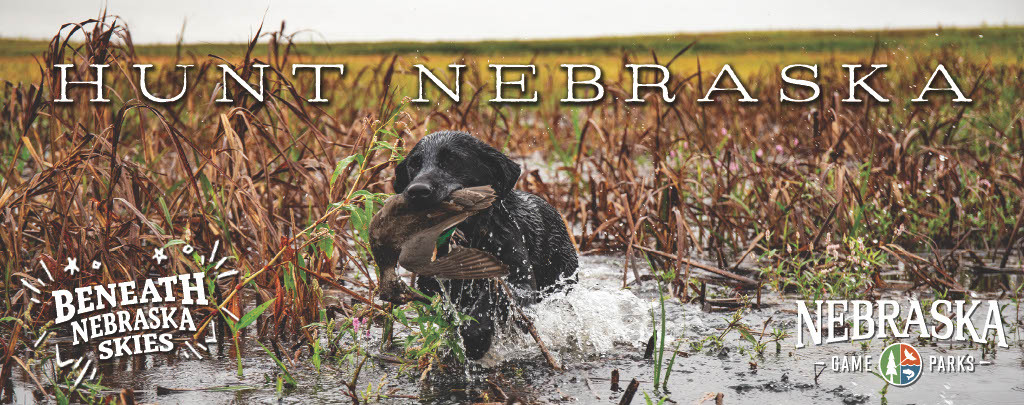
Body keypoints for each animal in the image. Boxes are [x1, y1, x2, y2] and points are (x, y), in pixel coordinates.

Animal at [393, 129, 581, 357]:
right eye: (414, 163)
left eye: (452, 160)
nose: (417, 191)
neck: (470, 234)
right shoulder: (431, 286)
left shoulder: (521, 282)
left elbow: (492, 297)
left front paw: (476, 338)